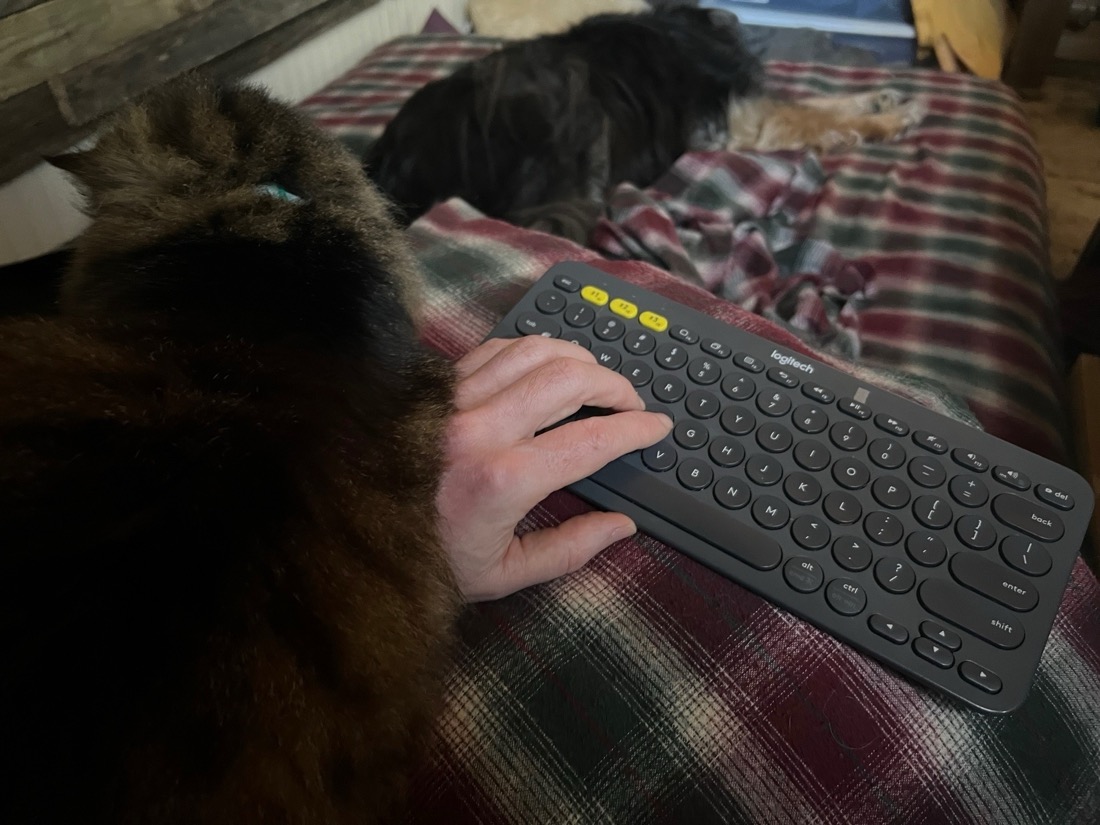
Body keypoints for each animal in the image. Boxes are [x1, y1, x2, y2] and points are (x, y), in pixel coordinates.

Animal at [367, 7, 919, 245]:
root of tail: (392, 163)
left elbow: (821, 102)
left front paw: (881, 99)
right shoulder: (738, 124)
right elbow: (809, 112)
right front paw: (890, 117)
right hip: (557, 101)